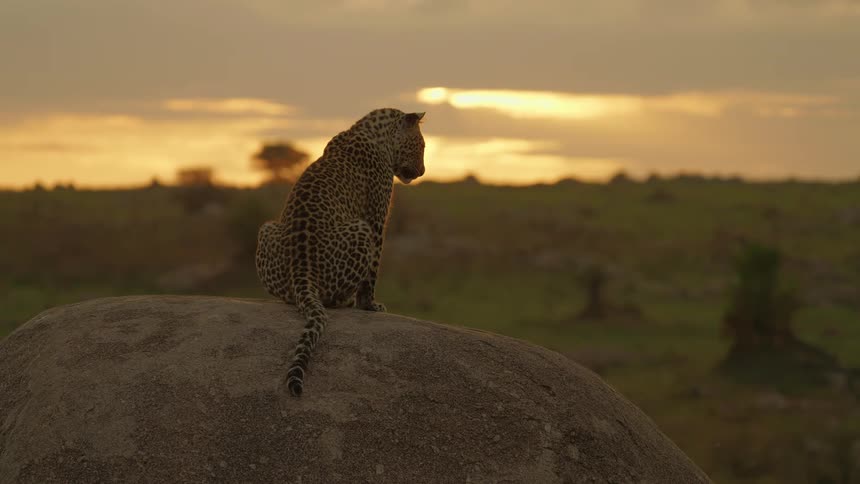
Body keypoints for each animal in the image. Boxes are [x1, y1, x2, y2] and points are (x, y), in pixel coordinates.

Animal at [255, 108, 426, 397]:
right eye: (422, 146)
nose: (423, 171)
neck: (373, 131)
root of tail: (301, 269)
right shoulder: (375, 220)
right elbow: (372, 273)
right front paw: (369, 305)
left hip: (267, 228)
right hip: (360, 229)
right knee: (331, 298)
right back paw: (345, 301)